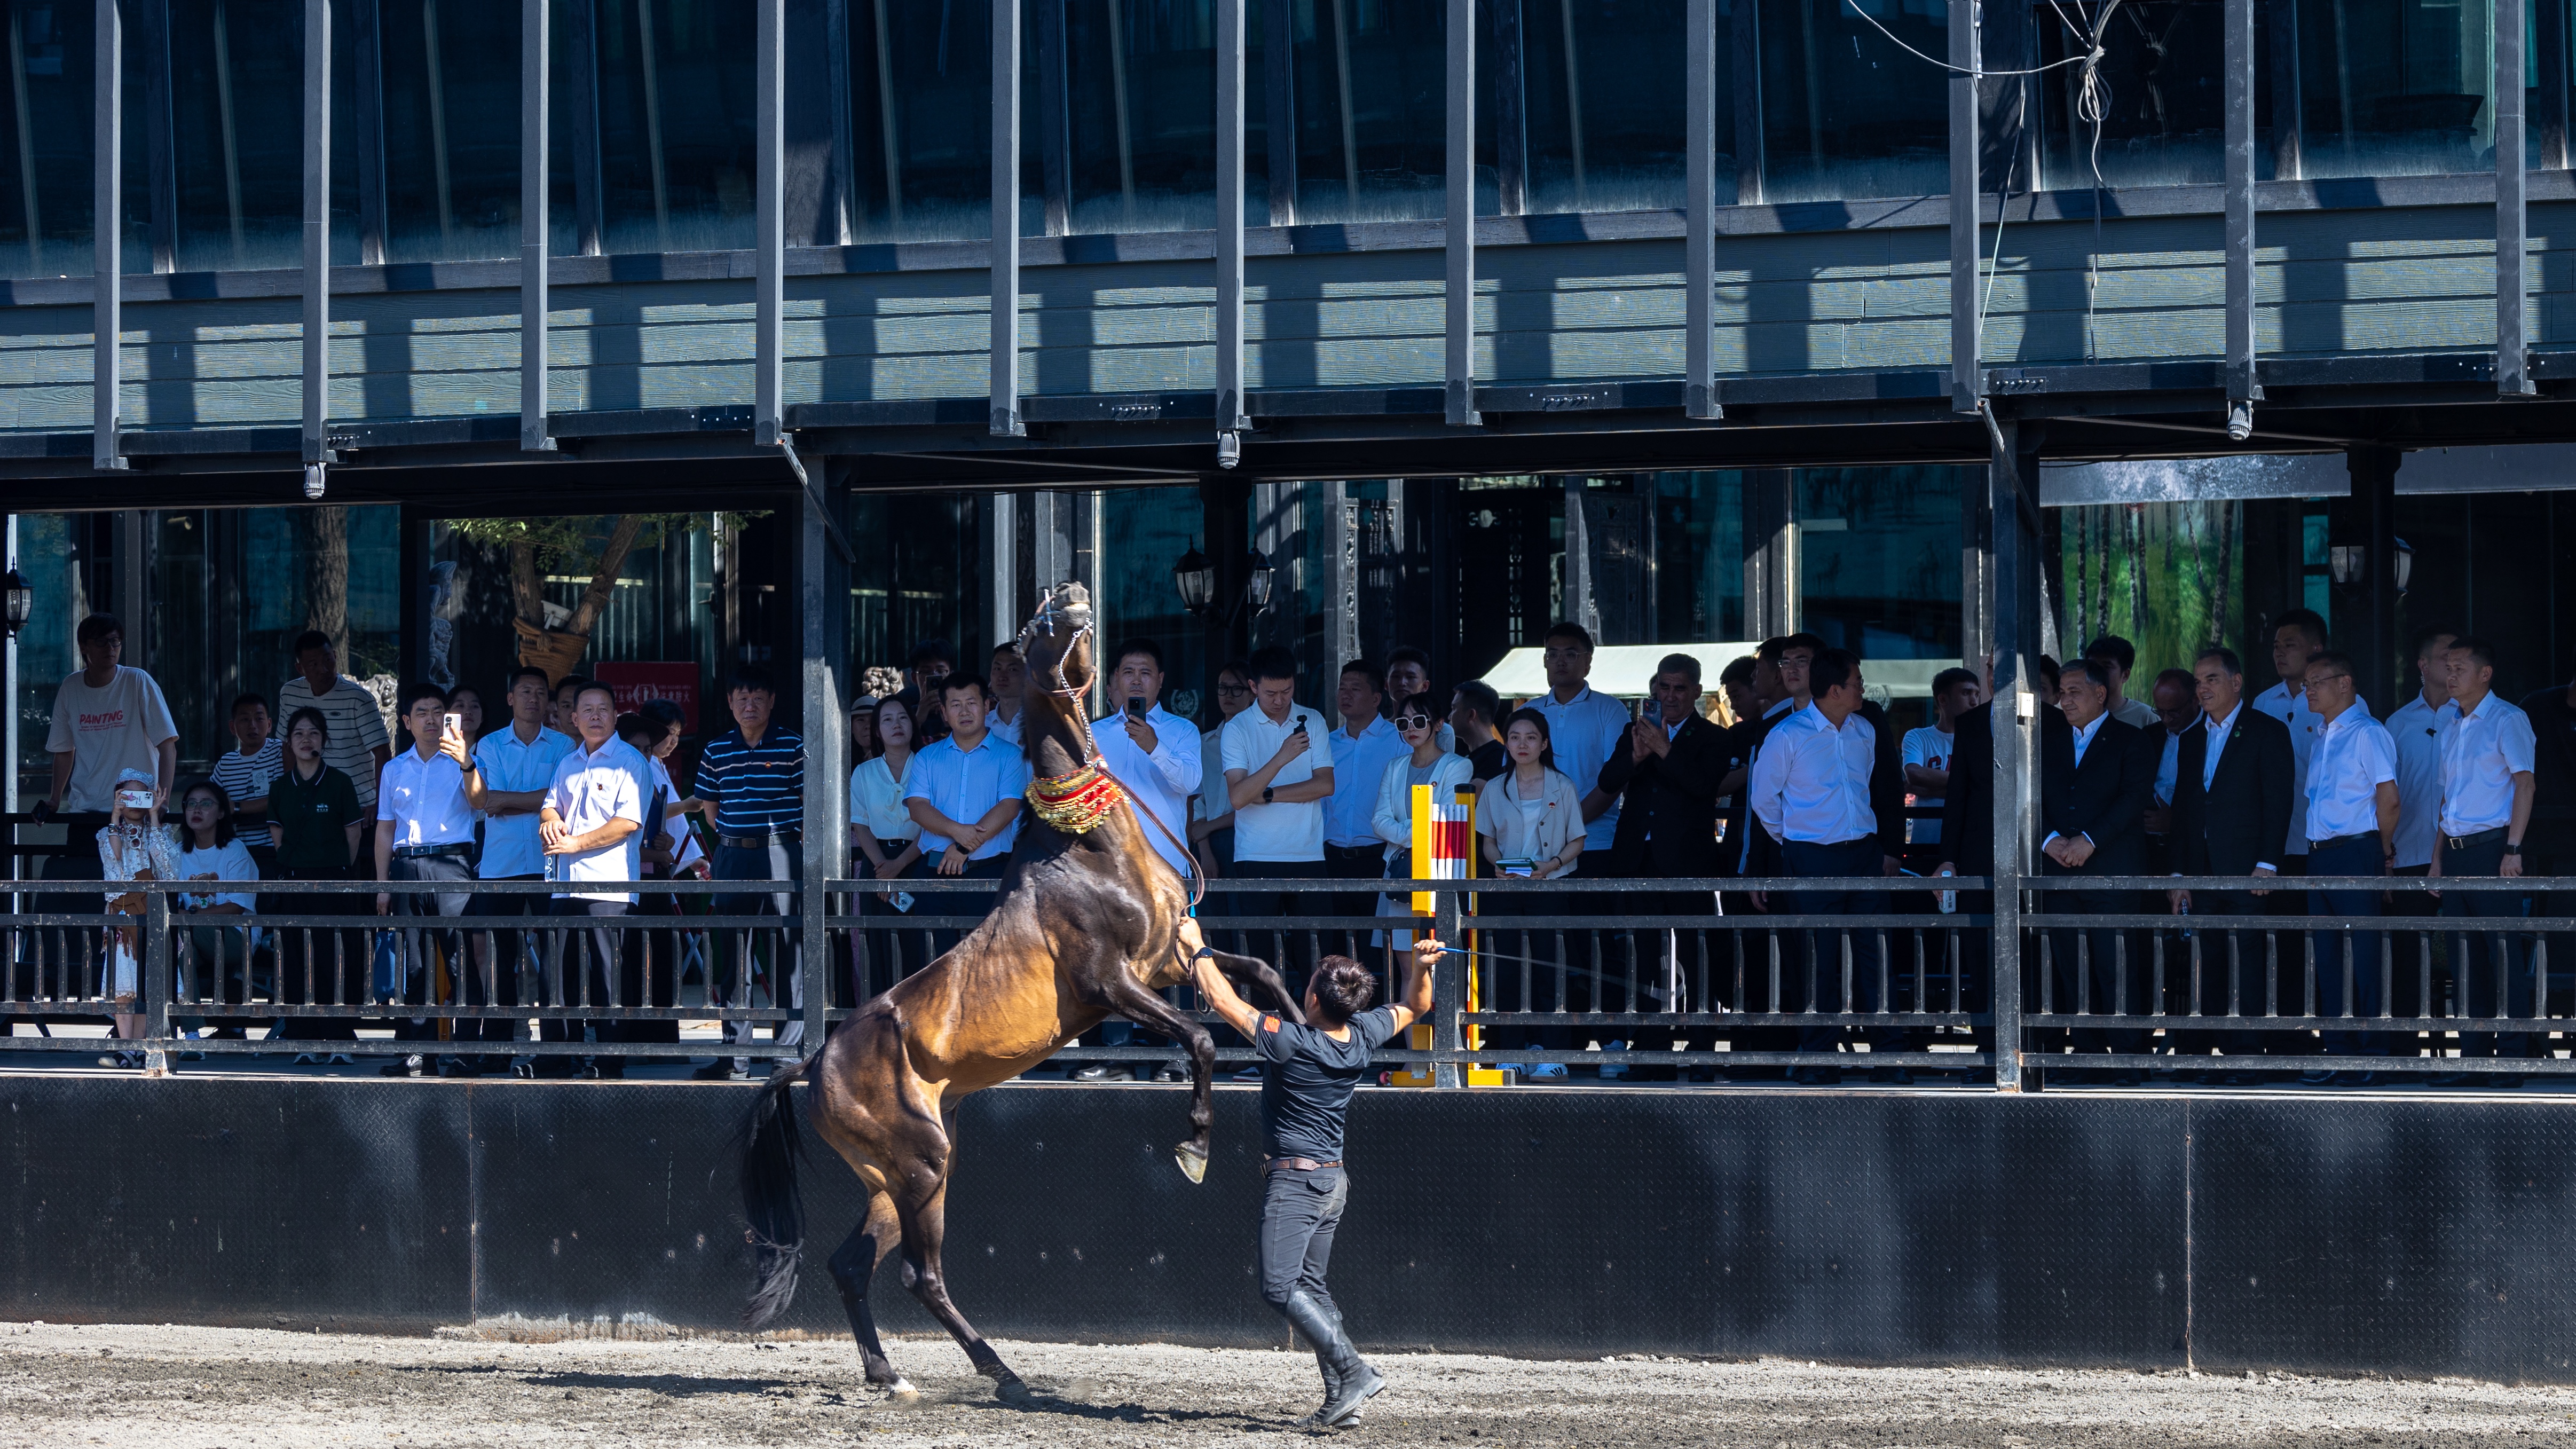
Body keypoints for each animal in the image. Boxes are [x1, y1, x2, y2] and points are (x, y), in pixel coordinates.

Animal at [742, 577, 1309, 1403]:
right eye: (1033, 625)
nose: (1073, 593)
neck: (1087, 847)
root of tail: (815, 1063)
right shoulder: (1111, 982)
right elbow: (1201, 1038)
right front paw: (1195, 1145)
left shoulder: (1175, 954)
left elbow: (1261, 976)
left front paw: (1319, 1038)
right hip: (922, 1166)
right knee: (919, 1274)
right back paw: (1003, 1372)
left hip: (896, 1171)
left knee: (852, 1264)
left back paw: (890, 1372)